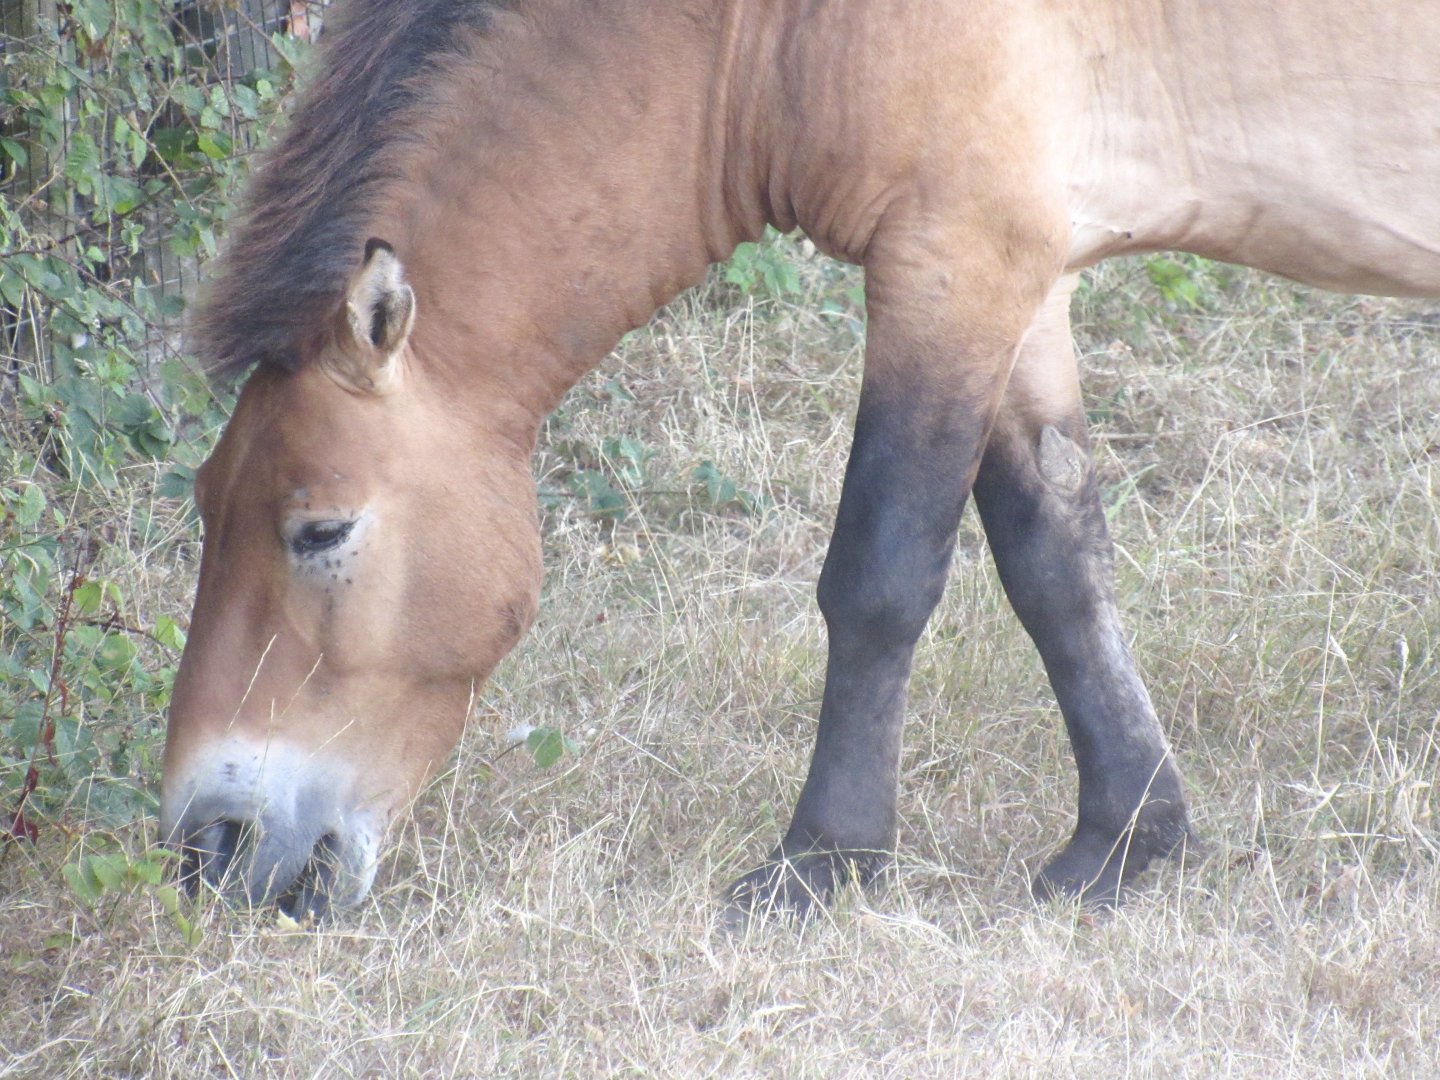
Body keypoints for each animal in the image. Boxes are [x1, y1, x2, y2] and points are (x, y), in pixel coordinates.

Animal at [159, 0, 1440, 918]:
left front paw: (823, 861)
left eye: (322, 530)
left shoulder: (950, 265)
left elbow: (879, 578)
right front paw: (1125, 842)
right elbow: (1056, 561)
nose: (207, 849)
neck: (763, 25)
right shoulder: (1017, 282)